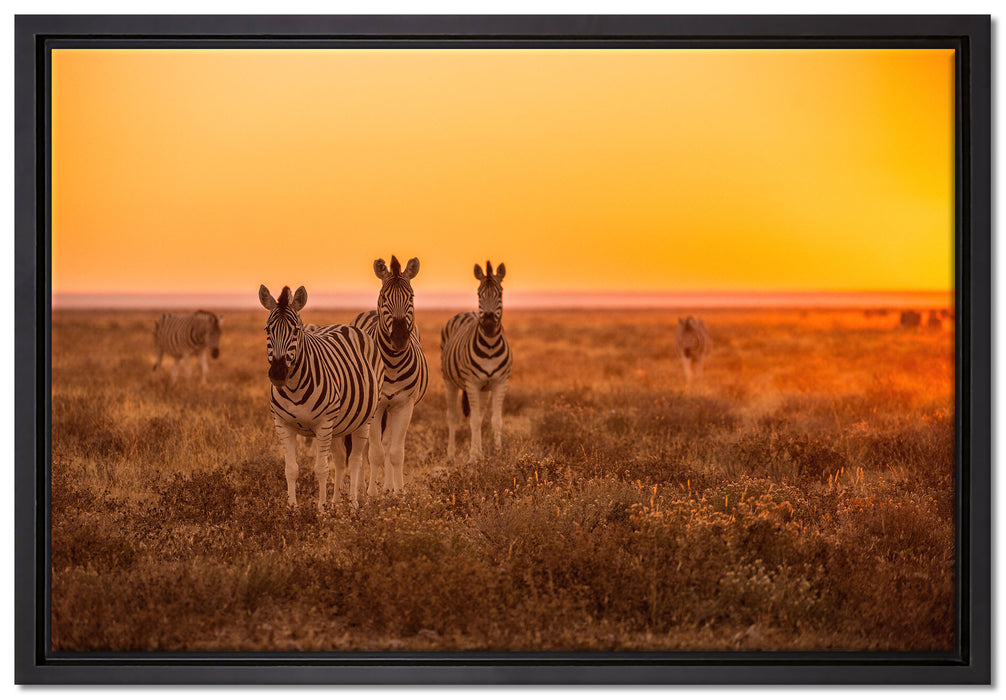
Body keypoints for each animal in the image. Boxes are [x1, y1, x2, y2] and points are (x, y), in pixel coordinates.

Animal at [259, 284, 383, 511]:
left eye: (296, 330)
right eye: (267, 330)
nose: (278, 373)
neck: (294, 388)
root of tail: (346, 326)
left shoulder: (323, 424)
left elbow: (321, 469)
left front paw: (321, 510)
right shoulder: (282, 424)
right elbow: (291, 469)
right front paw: (292, 509)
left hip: (364, 420)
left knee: (355, 460)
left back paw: (353, 504)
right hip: (338, 425)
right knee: (341, 459)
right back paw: (336, 503)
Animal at [350, 255, 429, 494]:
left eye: (411, 296)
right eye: (384, 297)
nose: (400, 338)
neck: (392, 363)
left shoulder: (404, 405)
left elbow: (395, 452)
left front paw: (398, 492)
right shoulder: (376, 407)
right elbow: (374, 452)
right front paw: (371, 495)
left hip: (392, 408)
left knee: (387, 443)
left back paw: (387, 487)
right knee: (367, 446)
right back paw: (362, 487)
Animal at [440, 261, 513, 464]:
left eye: (500, 293)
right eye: (479, 294)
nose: (488, 325)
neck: (489, 346)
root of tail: (467, 312)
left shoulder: (499, 382)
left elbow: (495, 419)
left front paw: (498, 452)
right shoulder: (472, 383)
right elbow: (473, 421)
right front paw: (472, 457)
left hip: (484, 389)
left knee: (479, 416)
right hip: (449, 381)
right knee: (452, 417)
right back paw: (451, 455)